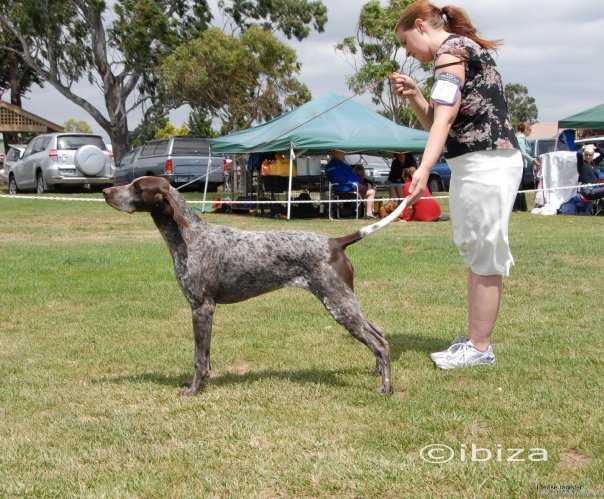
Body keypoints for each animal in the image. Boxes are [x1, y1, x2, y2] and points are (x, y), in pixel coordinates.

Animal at [104, 178, 408, 396]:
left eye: (137, 187)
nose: (106, 190)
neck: (187, 237)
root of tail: (335, 242)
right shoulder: (205, 311)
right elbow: (207, 356)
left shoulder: (201, 307)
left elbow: (199, 358)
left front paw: (194, 389)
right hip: (345, 302)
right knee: (379, 333)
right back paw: (376, 372)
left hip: (338, 304)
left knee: (381, 343)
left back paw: (386, 387)